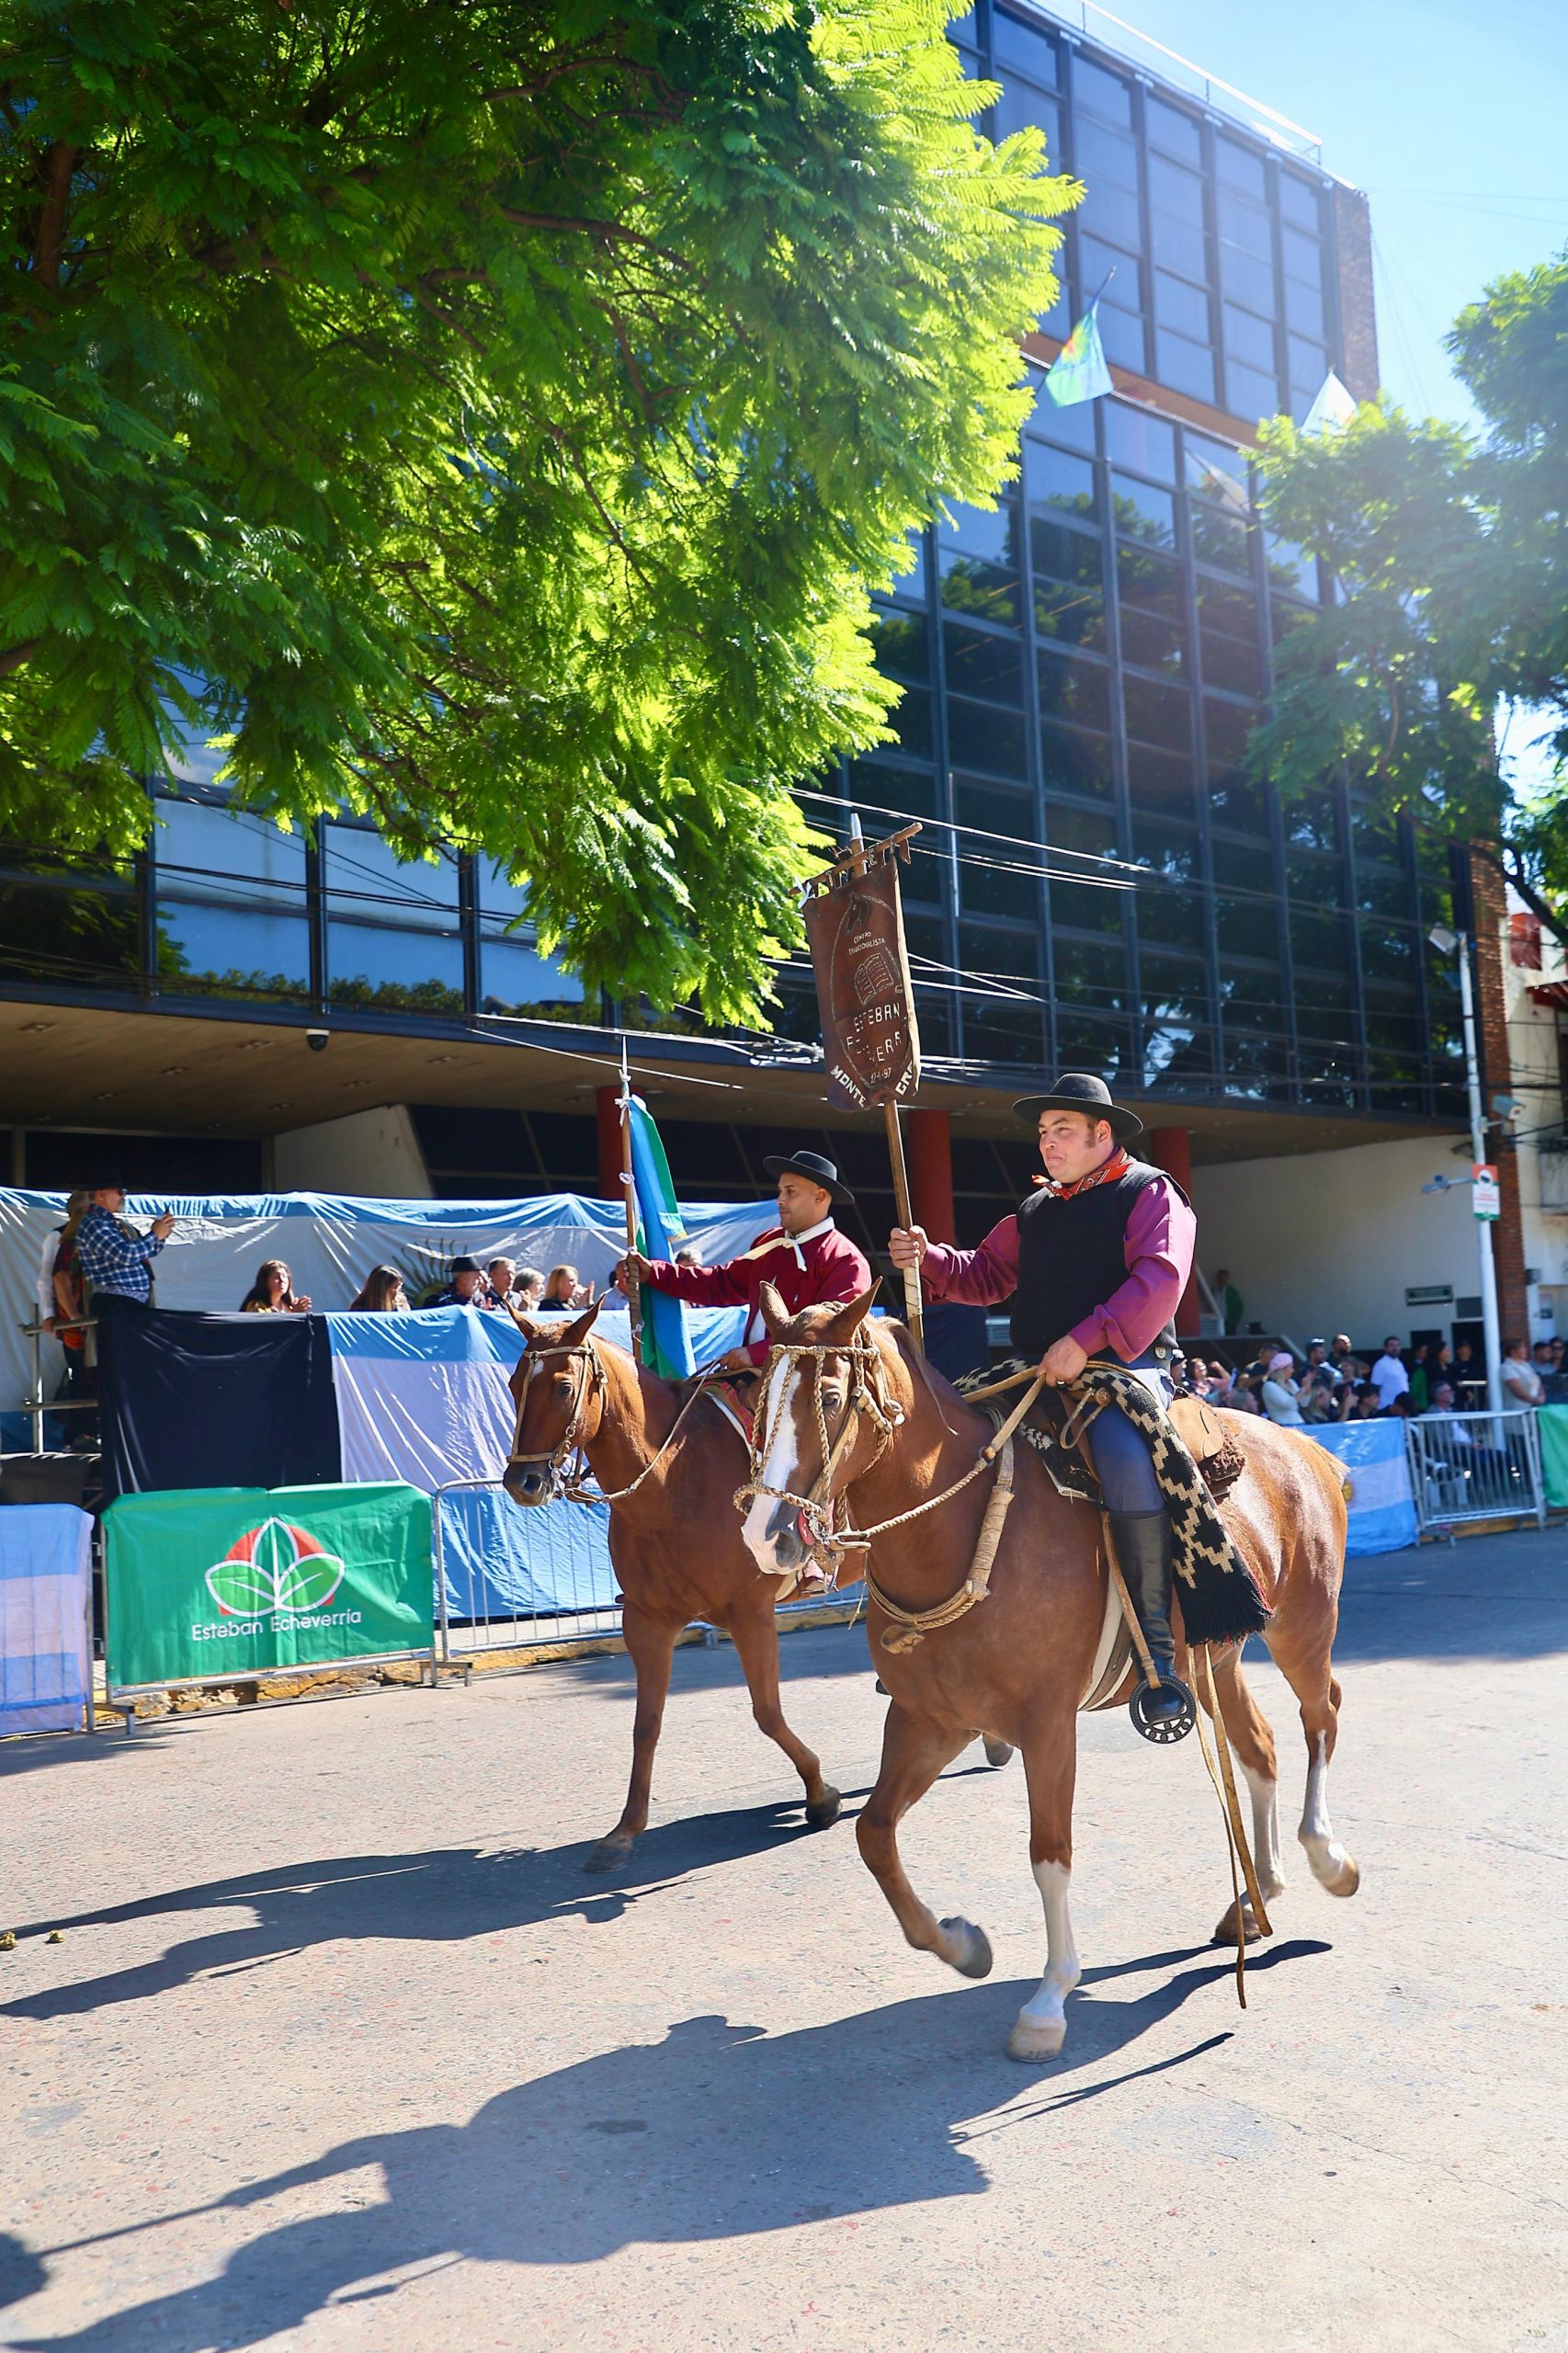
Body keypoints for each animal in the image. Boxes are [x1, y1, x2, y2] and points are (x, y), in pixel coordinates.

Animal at [501, 1300, 843, 1871]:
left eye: (564, 1387)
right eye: (511, 1384)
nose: (520, 1483)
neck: (673, 1483)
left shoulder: (750, 1614)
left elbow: (768, 1713)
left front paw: (820, 1794)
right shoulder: (647, 1621)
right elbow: (646, 1724)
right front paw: (624, 1830)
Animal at [739, 1286, 1359, 2064]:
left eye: (827, 1397)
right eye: (759, 1396)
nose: (764, 1537)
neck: (964, 1532)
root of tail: (1308, 1447)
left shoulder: (1047, 1726)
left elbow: (1049, 1855)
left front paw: (1048, 2002)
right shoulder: (930, 1719)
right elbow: (874, 1833)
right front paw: (960, 1944)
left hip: (1302, 1627)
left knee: (1322, 1715)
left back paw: (1327, 1857)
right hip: (1215, 1657)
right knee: (1261, 1750)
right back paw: (1255, 1898)